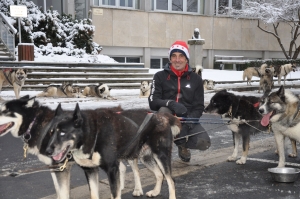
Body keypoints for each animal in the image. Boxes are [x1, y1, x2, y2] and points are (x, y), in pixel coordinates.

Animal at [44, 105, 180, 198]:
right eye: (51, 132)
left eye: (62, 133)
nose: (47, 151)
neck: (93, 134)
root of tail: (162, 116)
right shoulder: (90, 170)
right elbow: (93, 194)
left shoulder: (112, 170)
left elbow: (115, 194)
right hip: (146, 157)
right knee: (160, 174)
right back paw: (155, 192)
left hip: (161, 156)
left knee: (171, 180)